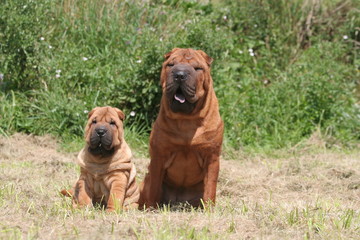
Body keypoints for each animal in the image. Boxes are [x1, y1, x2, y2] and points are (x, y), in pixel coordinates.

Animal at [140, 47, 222, 208]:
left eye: (197, 68)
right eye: (171, 65)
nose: (179, 74)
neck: (187, 120)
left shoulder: (212, 157)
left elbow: (210, 188)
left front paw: (209, 209)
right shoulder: (158, 156)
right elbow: (154, 187)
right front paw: (151, 208)